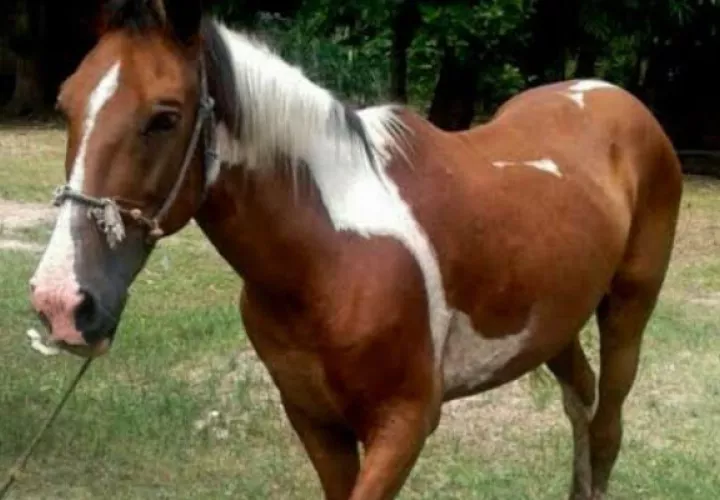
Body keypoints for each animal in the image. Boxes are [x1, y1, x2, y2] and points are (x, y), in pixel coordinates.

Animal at [28, 1, 683, 499]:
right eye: (65, 104)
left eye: (164, 117)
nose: (62, 303)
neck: (330, 256)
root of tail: (613, 96)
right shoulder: (316, 422)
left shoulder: (404, 424)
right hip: (554, 321)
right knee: (581, 400)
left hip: (628, 311)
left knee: (606, 426)